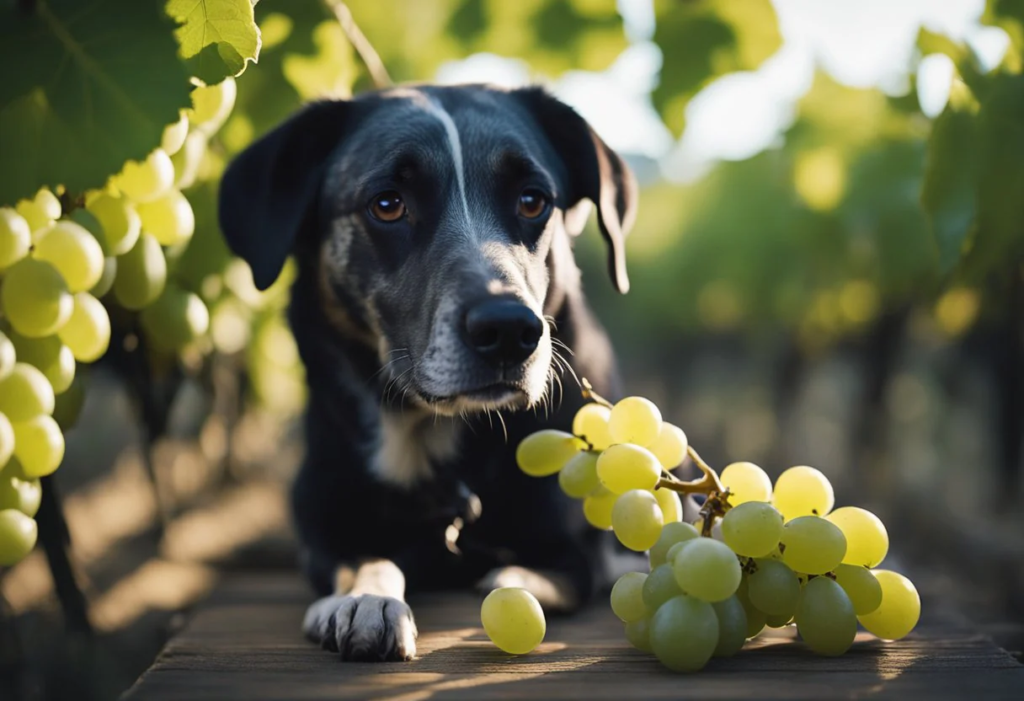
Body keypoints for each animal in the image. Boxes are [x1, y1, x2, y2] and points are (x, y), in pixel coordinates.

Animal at [219, 83, 634, 663]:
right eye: (388, 205)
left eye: (532, 200)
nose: (509, 330)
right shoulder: (329, 528)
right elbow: (365, 559)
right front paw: (367, 599)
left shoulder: (573, 549)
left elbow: (558, 572)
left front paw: (512, 582)